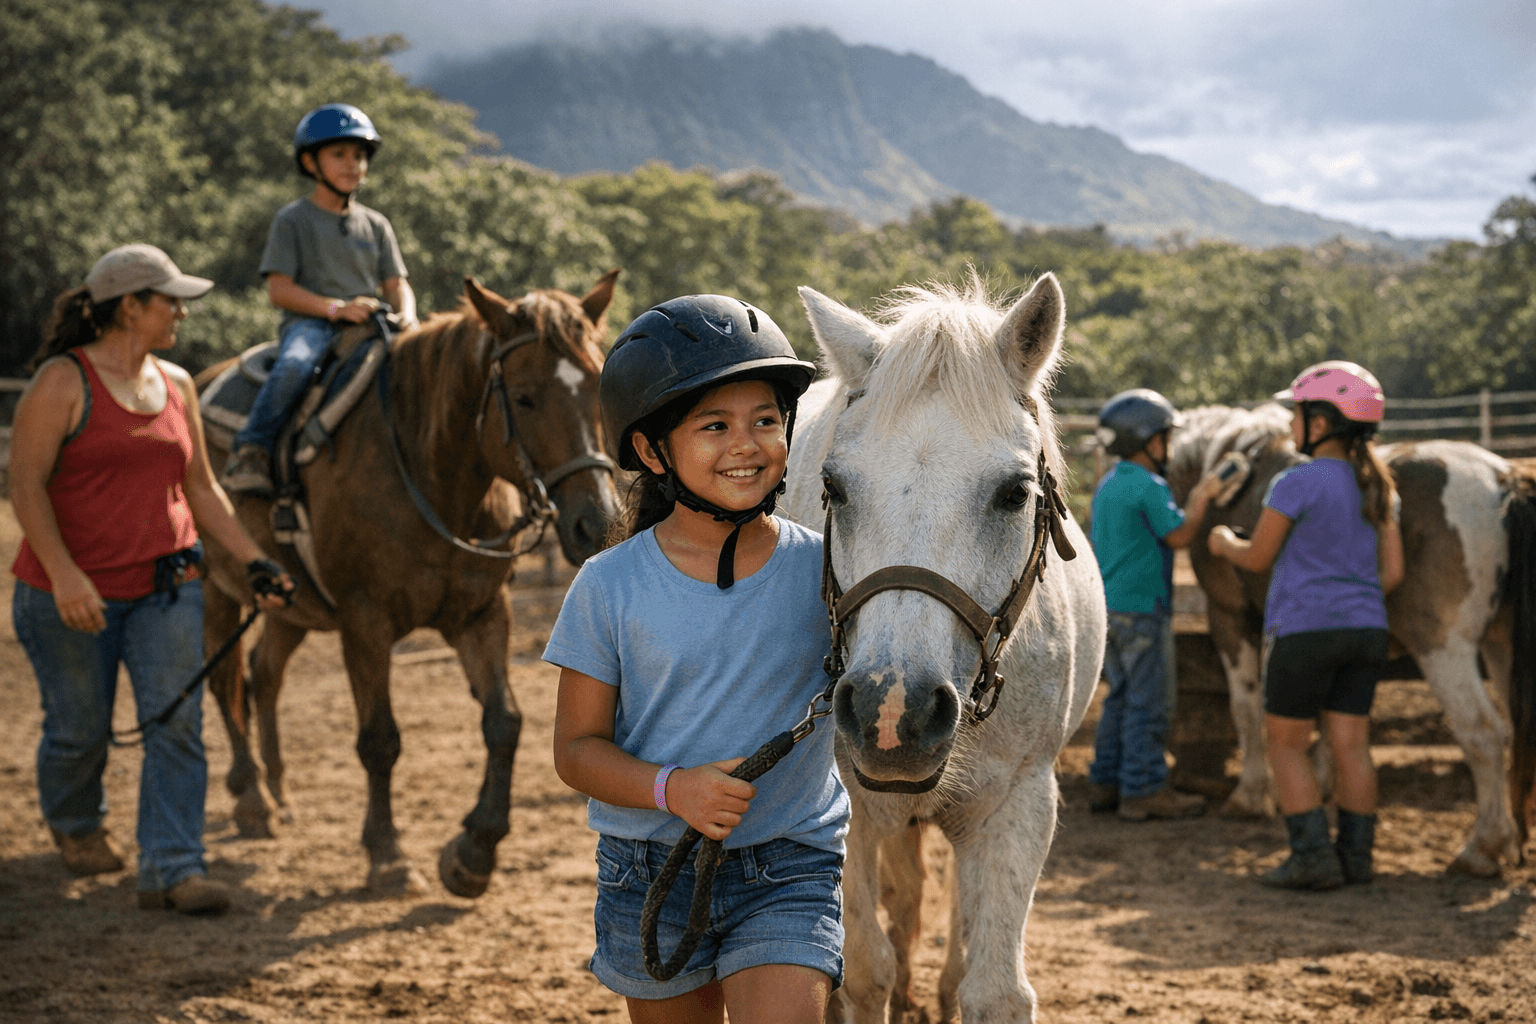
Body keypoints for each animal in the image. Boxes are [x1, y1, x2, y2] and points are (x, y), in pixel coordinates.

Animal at [197, 272, 623, 897]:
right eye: (523, 396)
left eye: (597, 386)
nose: (597, 523)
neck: (429, 474)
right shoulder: (365, 621)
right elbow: (380, 740)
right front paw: (388, 855)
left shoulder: (482, 614)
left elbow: (504, 723)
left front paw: (473, 853)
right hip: (219, 588)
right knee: (225, 682)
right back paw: (252, 799)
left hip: (287, 603)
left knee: (264, 675)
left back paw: (278, 790)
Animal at [781, 275, 1106, 1022]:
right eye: (833, 487)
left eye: (1015, 493)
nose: (890, 711)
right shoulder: (845, 813)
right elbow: (862, 970)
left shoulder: (1018, 804)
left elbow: (993, 989)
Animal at [1165, 404, 1536, 876]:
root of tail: (1503, 480)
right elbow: (1326, 715)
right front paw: (1321, 784)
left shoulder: (1230, 618)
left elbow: (1247, 708)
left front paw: (1250, 796)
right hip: (1501, 646)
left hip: (1444, 649)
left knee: (1484, 734)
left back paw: (1482, 848)